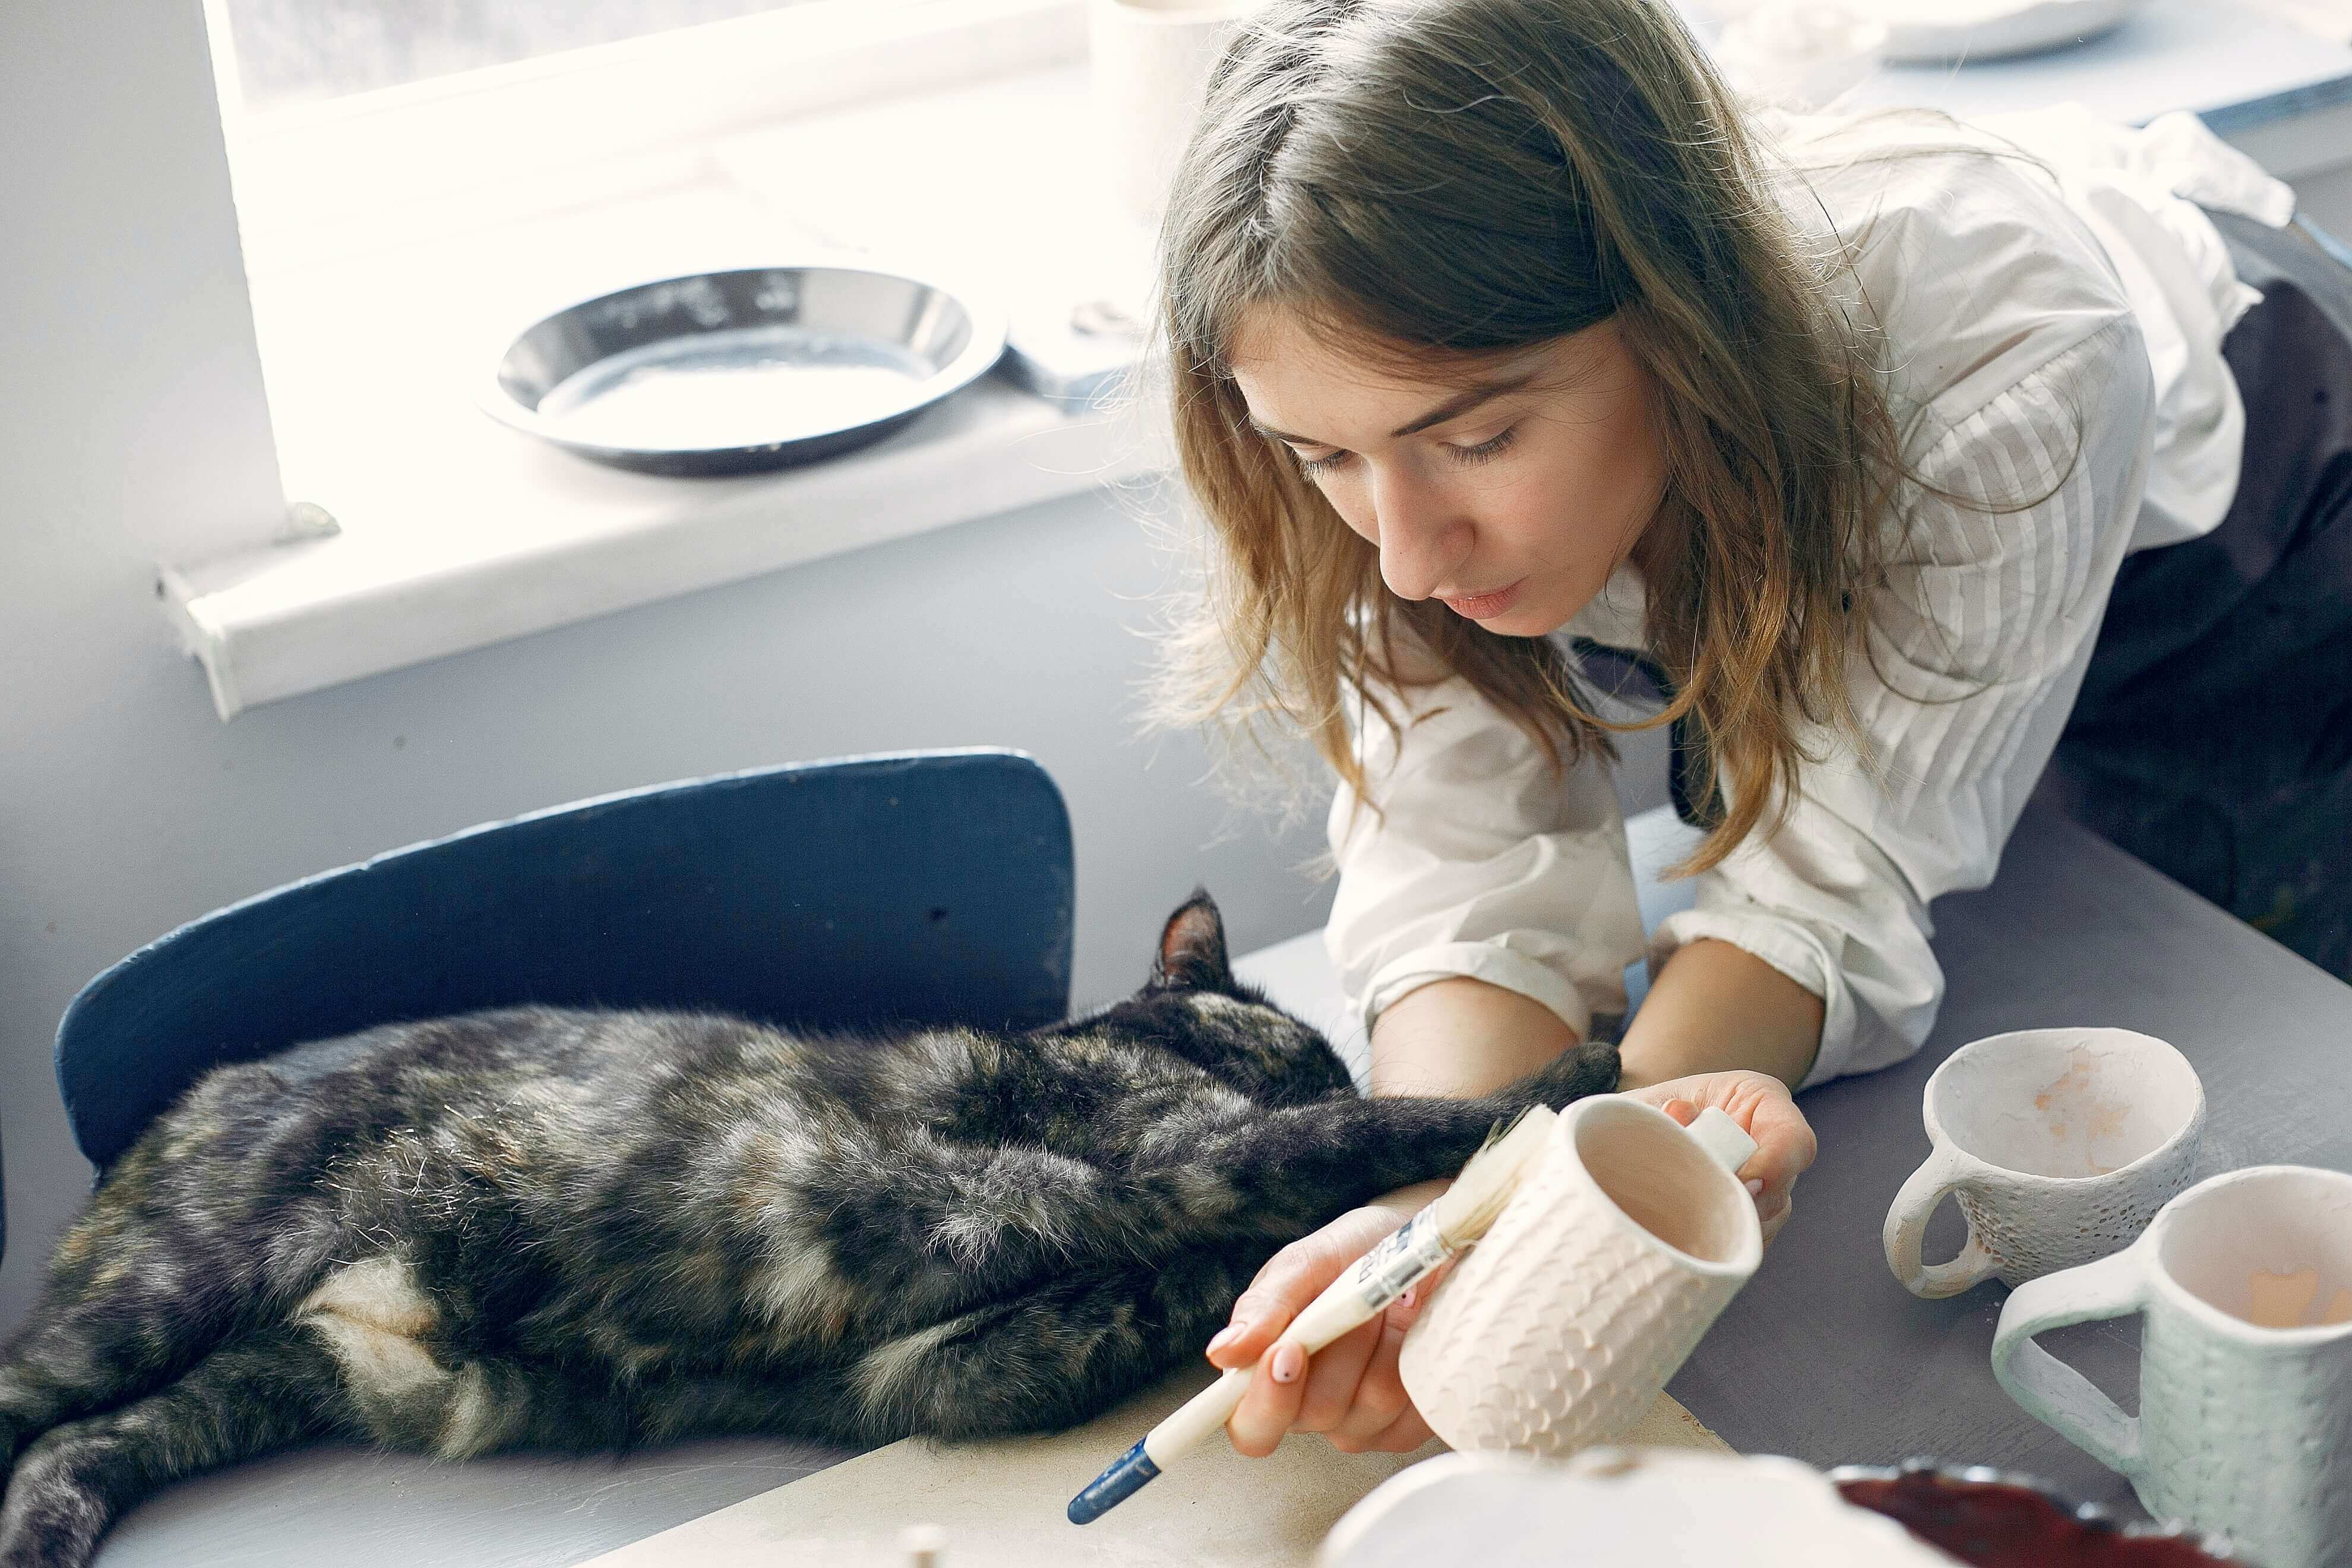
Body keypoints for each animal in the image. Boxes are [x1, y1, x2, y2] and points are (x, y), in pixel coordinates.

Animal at [0, 893, 1618, 1568]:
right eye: (1291, 1038)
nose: (1322, 1057)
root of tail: (176, 1105)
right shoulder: (1162, 1162)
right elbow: (1352, 1141)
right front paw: (1562, 1086)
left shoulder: (953, 1363)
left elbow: (1193, 1299)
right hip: (161, 1294)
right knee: (32, 1403)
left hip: (279, 1382)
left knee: (78, 1449)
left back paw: (48, 1536)